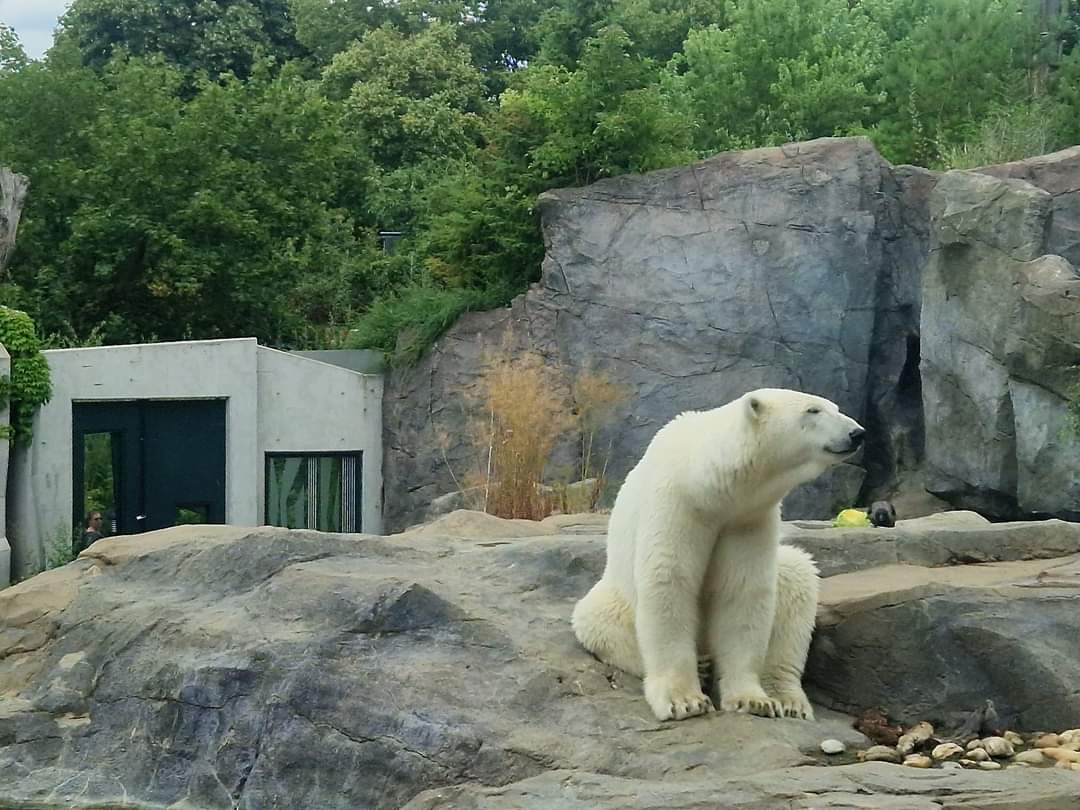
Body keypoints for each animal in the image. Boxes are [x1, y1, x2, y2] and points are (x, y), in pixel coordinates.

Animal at [572, 388, 865, 722]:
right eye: (813, 410)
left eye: (835, 407)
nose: (858, 433)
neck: (707, 484)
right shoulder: (677, 503)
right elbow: (668, 581)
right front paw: (684, 701)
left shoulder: (747, 518)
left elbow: (743, 591)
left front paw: (753, 700)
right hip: (612, 597)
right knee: (599, 621)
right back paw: (701, 665)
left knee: (796, 578)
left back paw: (788, 700)